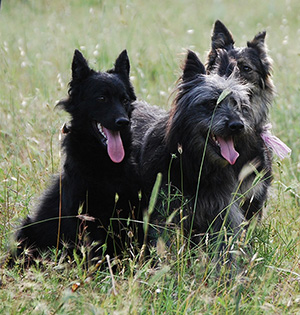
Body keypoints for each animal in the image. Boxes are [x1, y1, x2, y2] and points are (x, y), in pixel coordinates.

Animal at [12, 48, 141, 262]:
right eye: (102, 98)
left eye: (124, 100)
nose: (123, 122)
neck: (103, 163)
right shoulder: (85, 218)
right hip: (27, 229)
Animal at [132, 51, 268, 260]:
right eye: (212, 103)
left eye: (238, 104)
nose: (237, 125)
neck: (195, 165)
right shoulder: (164, 213)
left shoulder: (221, 212)